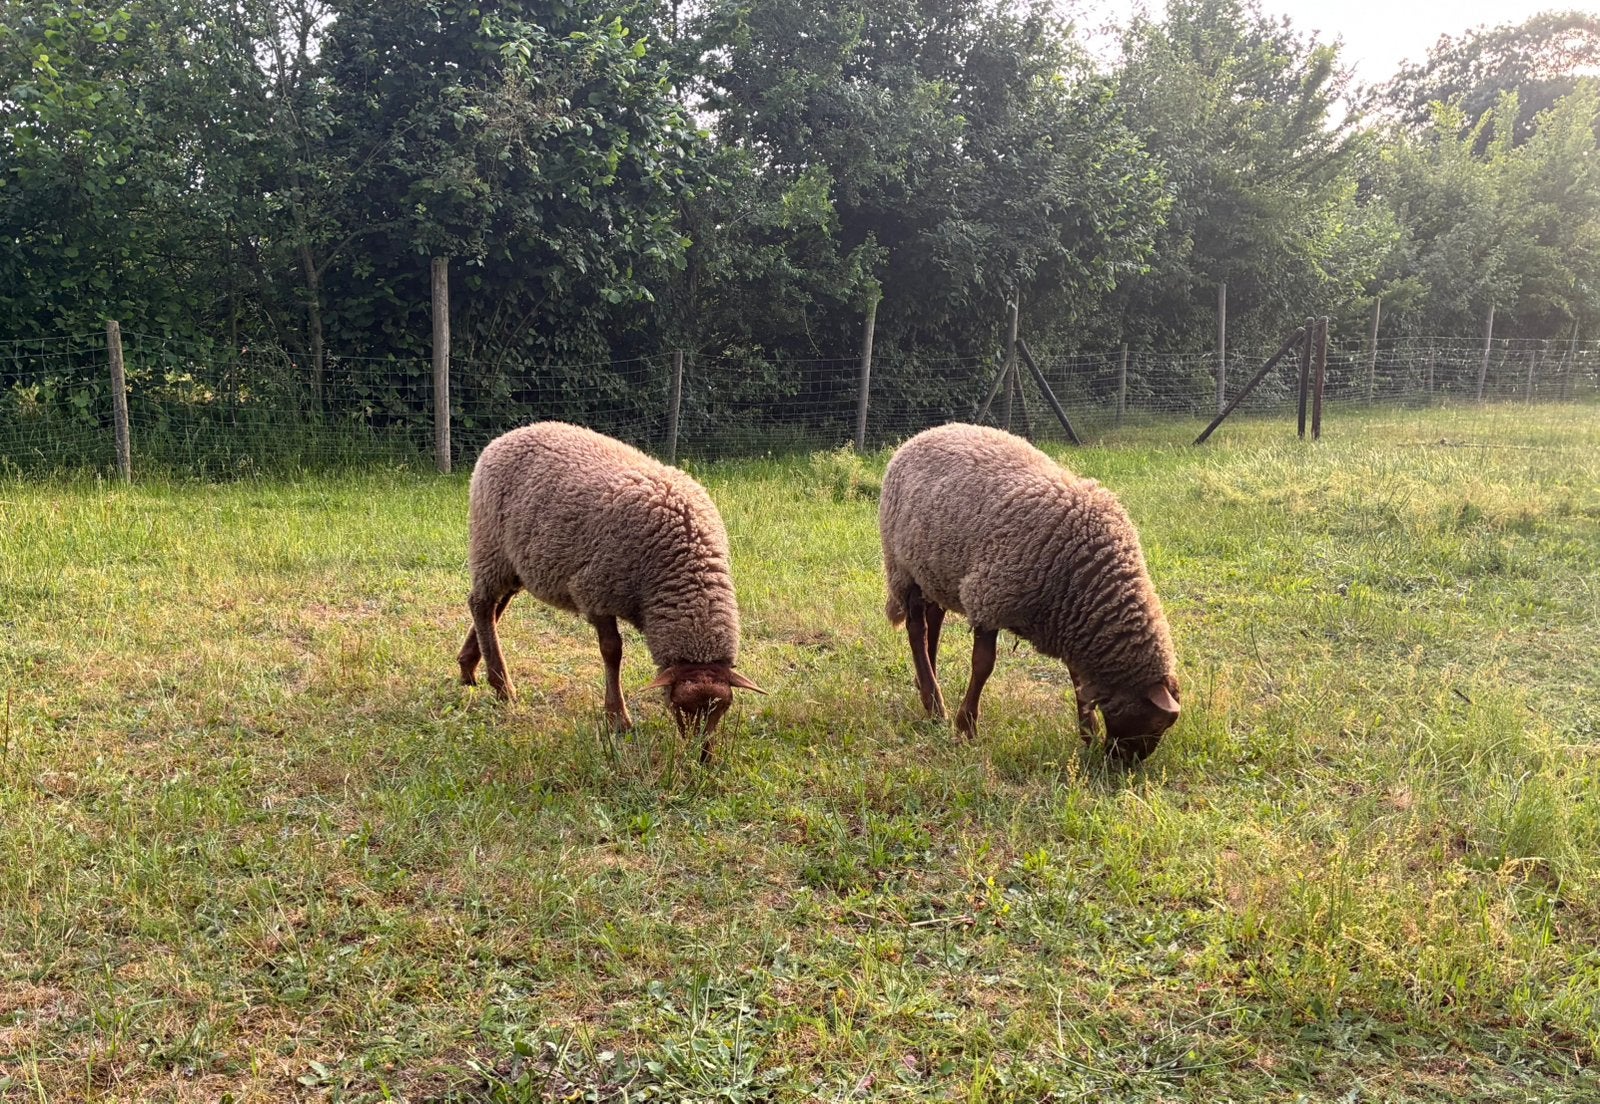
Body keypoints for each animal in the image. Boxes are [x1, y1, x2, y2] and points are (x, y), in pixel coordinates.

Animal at [457, 422, 764, 760]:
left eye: (723, 708)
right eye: (678, 704)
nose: (702, 758)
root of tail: (507, 436)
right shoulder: (594, 592)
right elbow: (612, 651)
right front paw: (618, 718)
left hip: (516, 560)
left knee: (496, 606)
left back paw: (469, 666)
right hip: (490, 543)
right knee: (481, 604)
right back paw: (502, 686)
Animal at [878, 423, 1179, 761]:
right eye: (1156, 723)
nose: (1124, 764)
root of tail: (925, 433)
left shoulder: (1067, 616)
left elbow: (1077, 679)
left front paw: (1088, 733)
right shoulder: (989, 598)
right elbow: (983, 665)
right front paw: (966, 727)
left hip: (935, 570)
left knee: (934, 623)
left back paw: (926, 684)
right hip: (903, 567)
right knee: (917, 629)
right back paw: (934, 705)